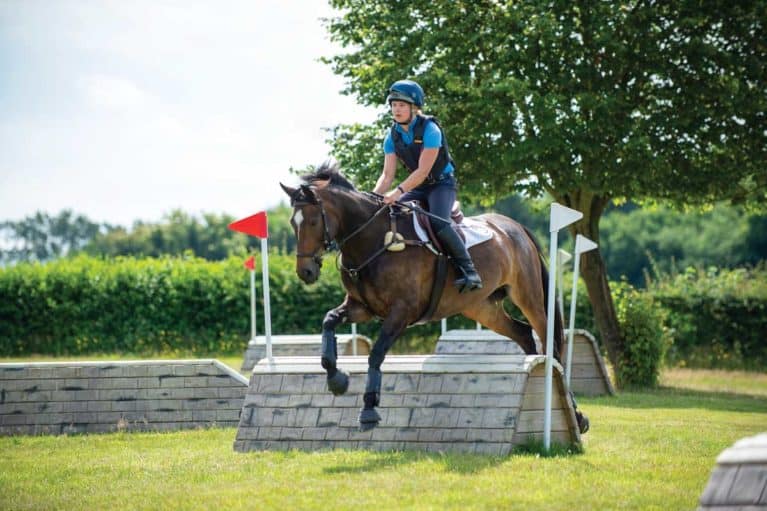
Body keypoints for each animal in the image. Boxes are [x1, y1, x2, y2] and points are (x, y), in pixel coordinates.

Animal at [280, 162, 588, 434]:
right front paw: (337, 380)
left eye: (312, 221)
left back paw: (575, 411)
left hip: (528, 295)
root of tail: (515, 227)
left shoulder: (401, 312)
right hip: (482, 307)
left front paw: (368, 410)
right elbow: (328, 322)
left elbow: (376, 353)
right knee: (524, 334)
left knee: (549, 341)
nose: (305, 272)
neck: (372, 240)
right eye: (292, 223)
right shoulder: (361, 307)